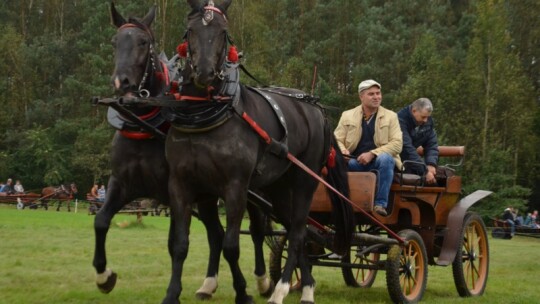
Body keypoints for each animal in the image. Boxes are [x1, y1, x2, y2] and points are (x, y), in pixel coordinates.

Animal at [92, 2, 274, 300]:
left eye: (144, 42)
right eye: (114, 42)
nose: (123, 83)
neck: (143, 124)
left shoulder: (171, 190)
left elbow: (173, 242)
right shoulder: (122, 183)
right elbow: (100, 221)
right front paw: (104, 276)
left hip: (251, 193)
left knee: (257, 230)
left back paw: (262, 281)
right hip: (207, 195)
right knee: (216, 233)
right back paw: (208, 284)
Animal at [162, 1, 352, 302]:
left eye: (223, 32)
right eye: (191, 30)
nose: (203, 73)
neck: (209, 114)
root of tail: (315, 107)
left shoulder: (235, 186)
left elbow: (230, 245)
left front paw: (244, 291)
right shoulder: (181, 184)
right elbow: (180, 244)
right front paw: (172, 294)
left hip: (304, 180)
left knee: (298, 232)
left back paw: (282, 288)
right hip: (277, 188)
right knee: (295, 230)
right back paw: (307, 287)